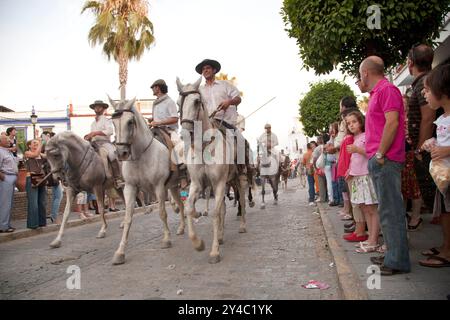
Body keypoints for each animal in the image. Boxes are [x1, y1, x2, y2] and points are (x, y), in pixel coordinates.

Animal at [107, 97, 185, 264]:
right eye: (113, 122)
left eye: (130, 122)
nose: (121, 153)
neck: (141, 155)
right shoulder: (130, 187)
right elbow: (128, 218)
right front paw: (120, 252)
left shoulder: (159, 187)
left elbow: (162, 213)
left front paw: (166, 239)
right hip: (174, 186)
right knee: (181, 206)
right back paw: (182, 228)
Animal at [176, 77, 248, 262]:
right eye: (179, 103)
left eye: (196, 101)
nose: (185, 133)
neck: (204, 148)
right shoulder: (197, 184)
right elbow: (189, 208)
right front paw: (198, 243)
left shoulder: (219, 183)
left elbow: (215, 214)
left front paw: (214, 252)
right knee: (223, 208)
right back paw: (221, 236)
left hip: (239, 179)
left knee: (242, 202)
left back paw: (242, 226)